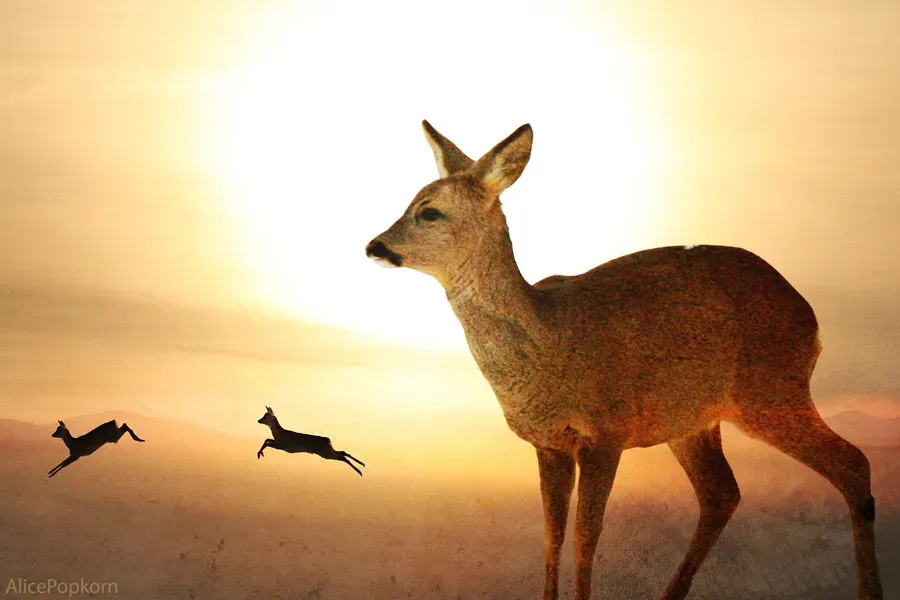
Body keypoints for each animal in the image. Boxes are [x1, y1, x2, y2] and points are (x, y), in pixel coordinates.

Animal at [364, 121, 883, 600]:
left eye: (430, 211)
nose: (374, 246)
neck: (547, 345)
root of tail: (811, 320)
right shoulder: (548, 445)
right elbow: (552, 536)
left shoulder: (605, 433)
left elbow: (585, 538)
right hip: (694, 418)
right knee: (722, 492)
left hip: (771, 390)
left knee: (853, 463)